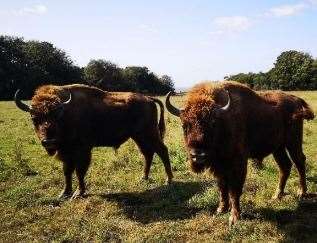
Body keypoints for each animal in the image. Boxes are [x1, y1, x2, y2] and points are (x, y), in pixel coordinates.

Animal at [14, 84, 173, 198]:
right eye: (34, 118)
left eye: (57, 116)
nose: (48, 141)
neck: (66, 112)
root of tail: (149, 98)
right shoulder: (67, 153)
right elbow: (67, 171)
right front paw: (64, 193)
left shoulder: (82, 150)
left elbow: (79, 171)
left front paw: (78, 193)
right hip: (139, 137)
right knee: (148, 154)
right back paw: (143, 178)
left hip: (149, 134)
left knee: (162, 151)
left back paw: (169, 180)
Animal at [165, 81, 314, 226]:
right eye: (184, 125)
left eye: (212, 124)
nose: (198, 156)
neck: (223, 121)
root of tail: (296, 100)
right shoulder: (219, 166)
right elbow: (222, 187)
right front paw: (221, 209)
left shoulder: (238, 163)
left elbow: (234, 189)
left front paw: (234, 217)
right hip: (278, 148)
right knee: (285, 167)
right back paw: (277, 195)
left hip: (293, 142)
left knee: (299, 161)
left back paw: (301, 192)